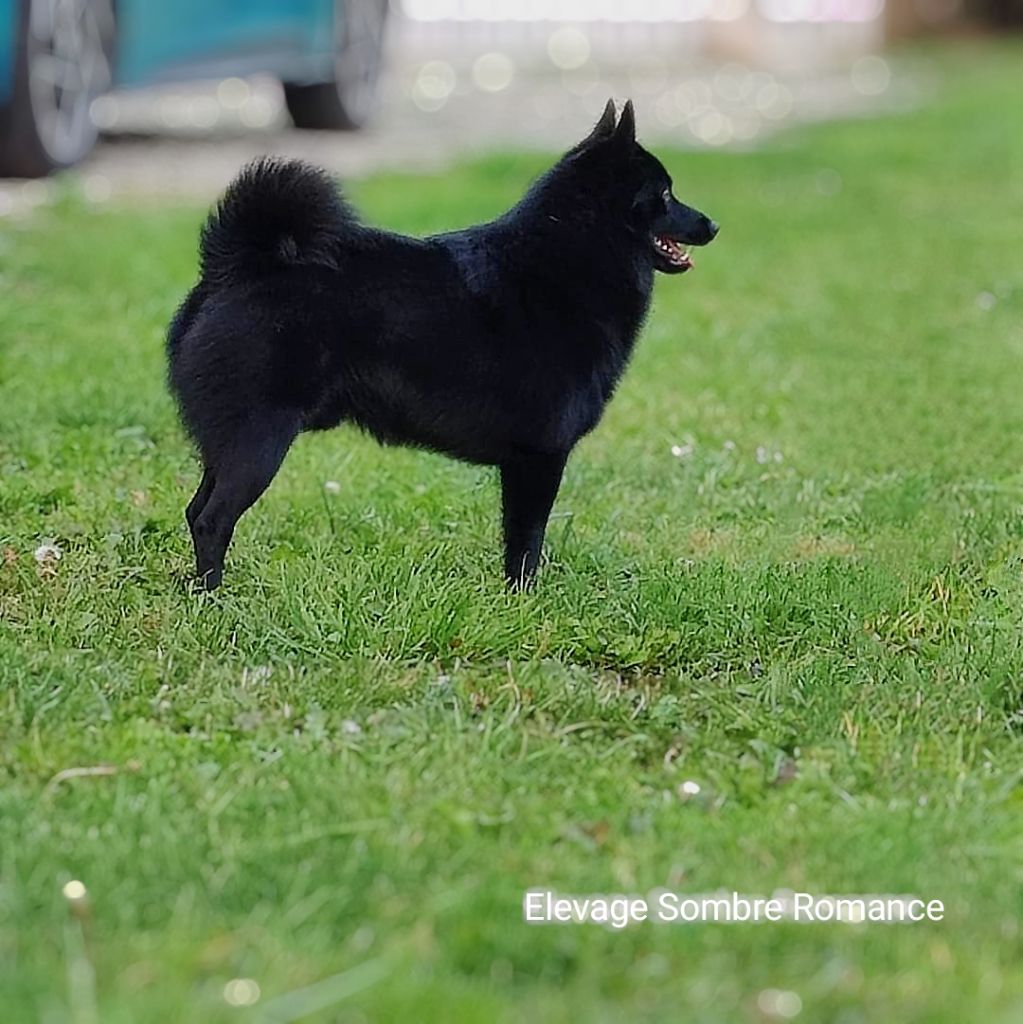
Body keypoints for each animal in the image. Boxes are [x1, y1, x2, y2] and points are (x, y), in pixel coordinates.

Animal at [167, 100, 720, 593]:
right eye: (665, 194)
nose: (713, 224)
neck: (571, 260)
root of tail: (238, 265)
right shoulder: (539, 456)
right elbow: (527, 542)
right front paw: (524, 604)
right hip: (259, 439)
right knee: (214, 519)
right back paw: (213, 598)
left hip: (229, 441)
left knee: (195, 511)